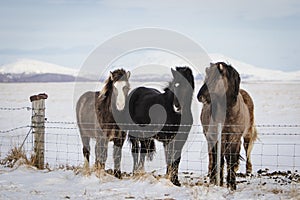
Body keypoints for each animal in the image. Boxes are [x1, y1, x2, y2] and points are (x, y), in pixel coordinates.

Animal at [197, 61, 258, 190]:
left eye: (215, 78)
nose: (200, 97)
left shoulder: (234, 137)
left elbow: (231, 159)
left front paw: (232, 184)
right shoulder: (217, 137)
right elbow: (219, 159)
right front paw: (218, 182)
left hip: (247, 135)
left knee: (246, 149)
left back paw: (248, 171)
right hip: (211, 138)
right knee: (213, 157)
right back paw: (212, 176)